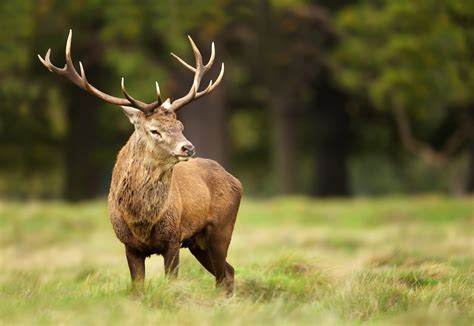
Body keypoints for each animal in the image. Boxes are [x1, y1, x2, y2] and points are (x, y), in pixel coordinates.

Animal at [38, 30, 243, 296]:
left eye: (180, 125)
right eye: (154, 130)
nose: (188, 147)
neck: (141, 221)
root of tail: (234, 179)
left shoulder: (172, 238)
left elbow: (171, 283)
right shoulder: (129, 245)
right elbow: (137, 289)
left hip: (221, 228)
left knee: (223, 275)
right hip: (197, 242)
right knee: (229, 270)